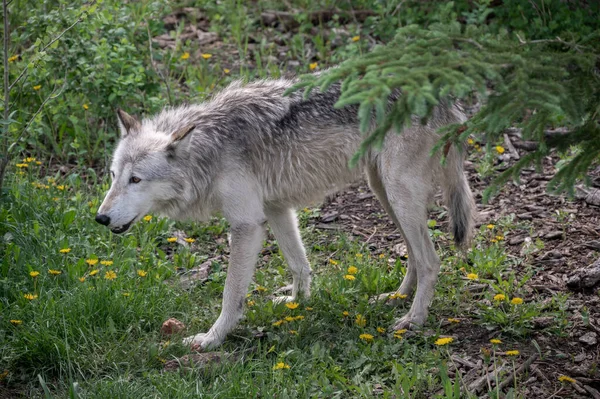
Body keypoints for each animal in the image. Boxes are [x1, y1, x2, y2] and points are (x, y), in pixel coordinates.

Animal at [96, 77, 476, 350]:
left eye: (136, 179)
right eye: (114, 176)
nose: (100, 218)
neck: (210, 149)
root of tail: (445, 99)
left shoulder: (246, 225)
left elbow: (232, 294)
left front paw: (212, 339)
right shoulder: (276, 208)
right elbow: (299, 264)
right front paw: (296, 303)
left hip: (398, 195)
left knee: (431, 260)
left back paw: (414, 319)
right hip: (385, 193)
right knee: (413, 253)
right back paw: (397, 298)